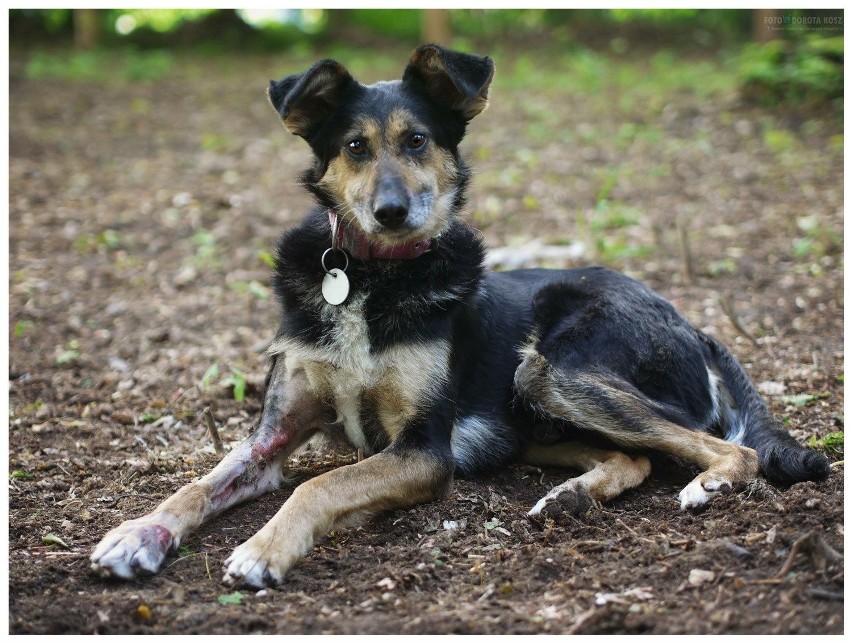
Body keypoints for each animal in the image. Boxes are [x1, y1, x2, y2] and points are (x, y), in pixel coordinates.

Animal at [90, 44, 828, 588]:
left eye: (417, 140)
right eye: (354, 147)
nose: (391, 212)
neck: (370, 277)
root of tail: (691, 322)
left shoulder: (423, 450)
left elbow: (322, 483)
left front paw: (264, 548)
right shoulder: (270, 439)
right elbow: (195, 485)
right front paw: (136, 533)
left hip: (555, 370)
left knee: (725, 448)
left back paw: (708, 482)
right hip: (534, 418)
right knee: (636, 456)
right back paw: (571, 497)